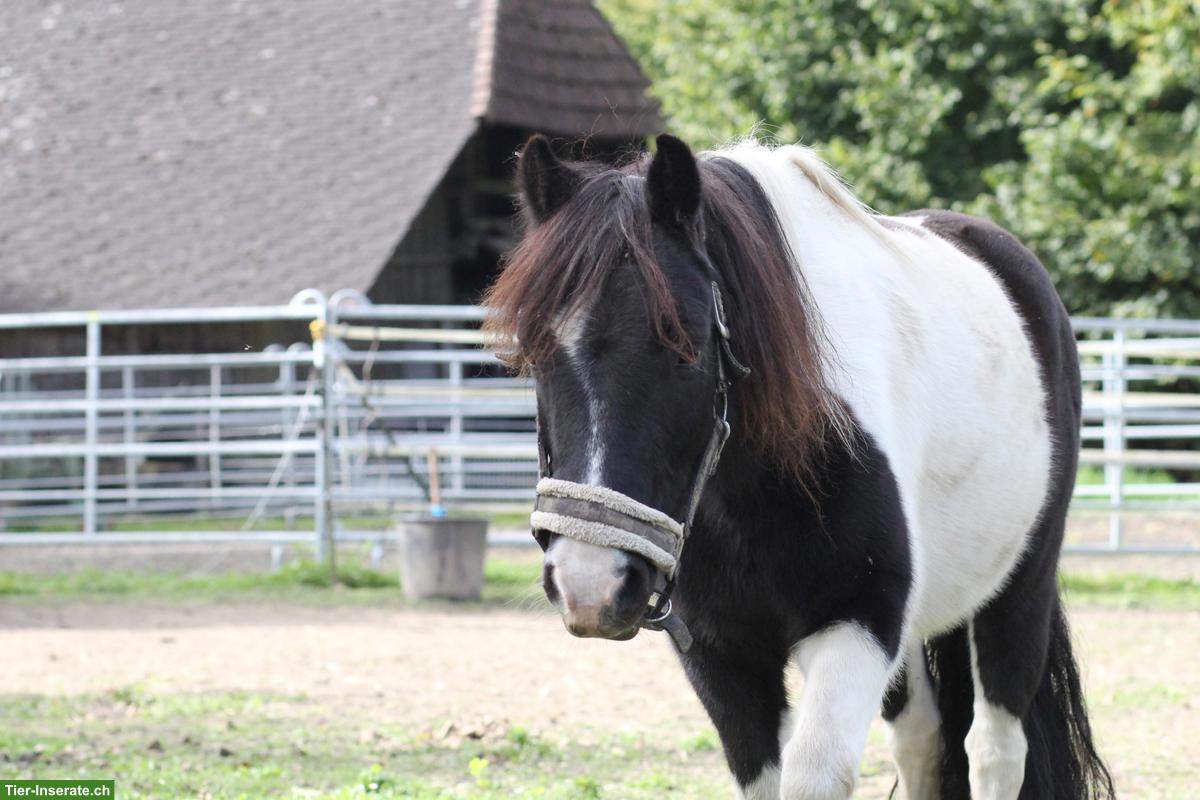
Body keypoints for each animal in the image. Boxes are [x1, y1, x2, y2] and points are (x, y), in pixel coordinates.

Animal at [483, 133, 1114, 800]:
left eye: (686, 345)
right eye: (535, 353)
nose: (591, 582)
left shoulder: (857, 627)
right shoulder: (721, 656)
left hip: (1019, 590)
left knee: (994, 749)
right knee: (921, 738)